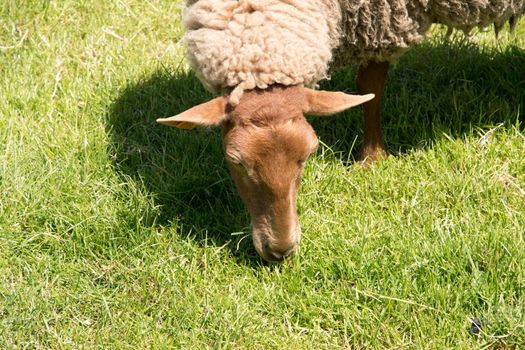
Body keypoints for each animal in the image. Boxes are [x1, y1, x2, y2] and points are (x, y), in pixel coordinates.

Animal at [158, 0, 520, 262]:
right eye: (235, 161)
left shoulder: (382, 20)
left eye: (309, 155)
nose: (280, 252)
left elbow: (370, 84)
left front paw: (372, 157)